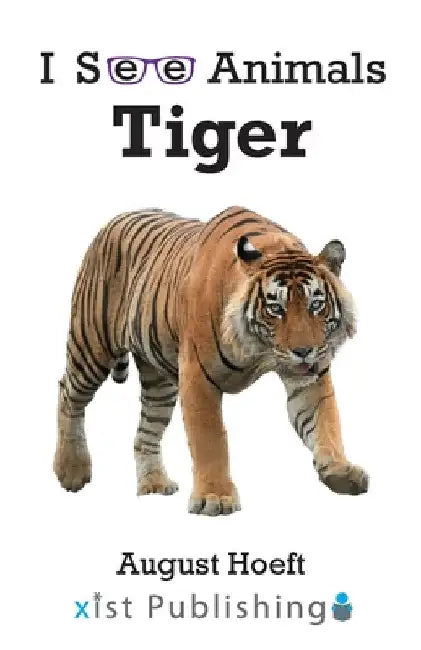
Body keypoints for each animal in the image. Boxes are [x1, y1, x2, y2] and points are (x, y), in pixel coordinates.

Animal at [54, 206, 368, 516]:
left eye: (316, 304)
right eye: (275, 308)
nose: (304, 351)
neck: (257, 350)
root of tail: (114, 219)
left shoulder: (311, 379)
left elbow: (325, 421)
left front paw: (340, 470)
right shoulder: (197, 376)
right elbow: (210, 438)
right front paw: (215, 498)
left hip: (159, 383)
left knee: (146, 431)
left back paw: (154, 484)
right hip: (91, 346)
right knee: (68, 393)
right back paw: (71, 470)